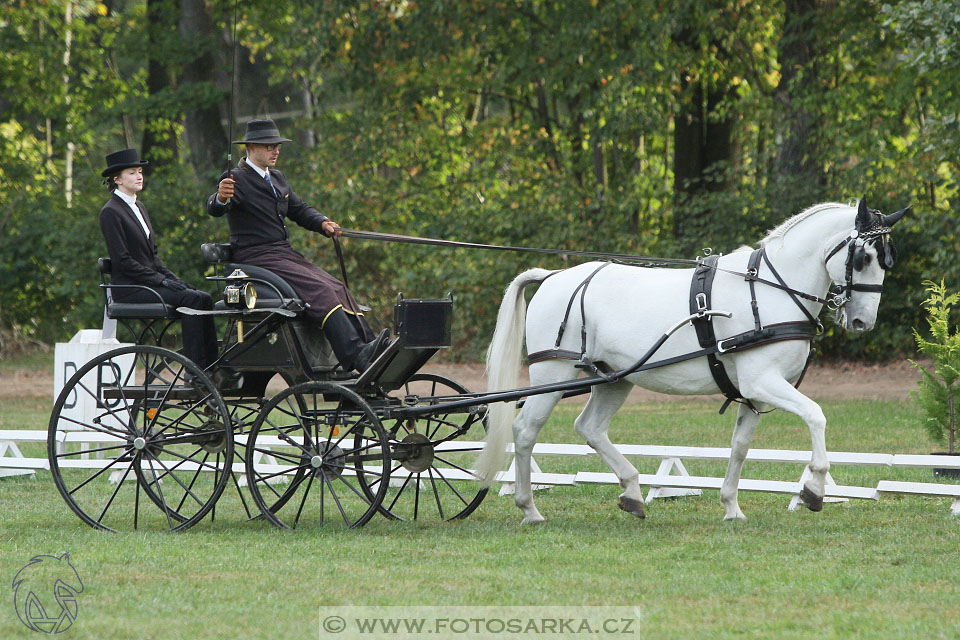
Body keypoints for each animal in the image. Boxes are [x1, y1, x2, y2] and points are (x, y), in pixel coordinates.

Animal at [478, 201, 908, 524]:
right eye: (864, 256)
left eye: (886, 259)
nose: (862, 322)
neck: (770, 289)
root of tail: (553, 276)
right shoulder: (762, 382)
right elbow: (816, 416)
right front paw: (814, 489)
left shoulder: (755, 394)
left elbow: (740, 446)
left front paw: (731, 506)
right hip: (553, 374)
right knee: (525, 430)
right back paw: (529, 508)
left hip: (615, 378)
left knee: (590, 427)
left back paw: (632, 492)